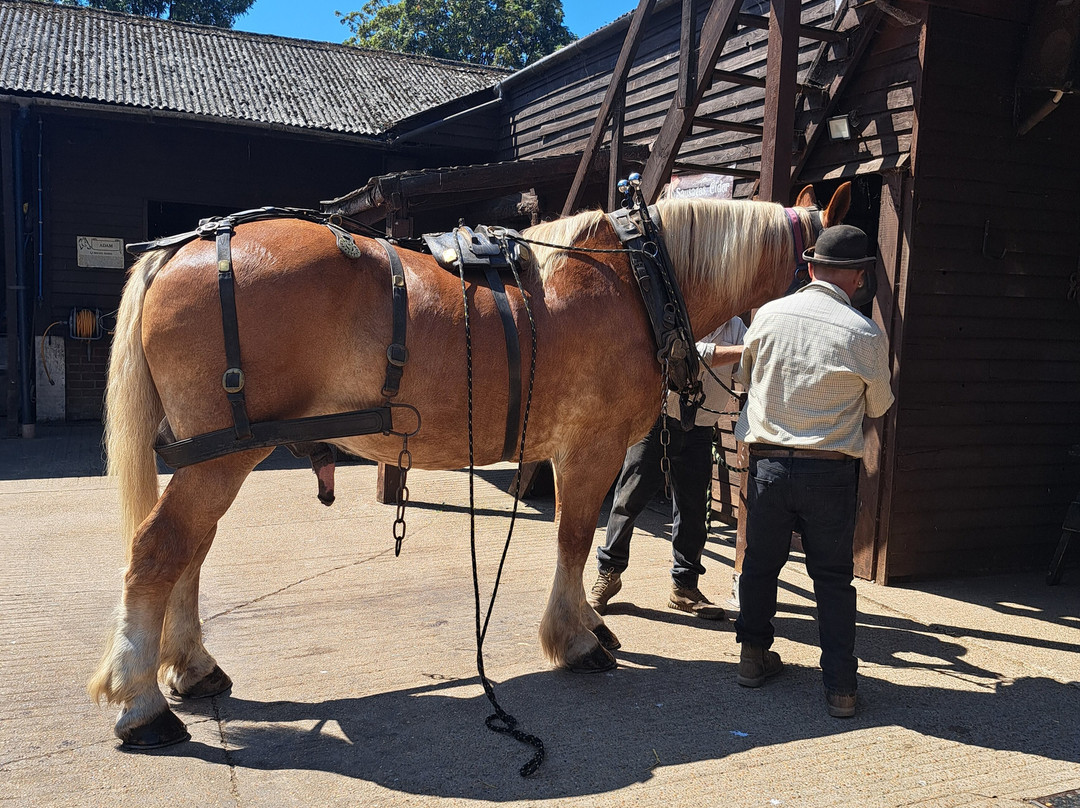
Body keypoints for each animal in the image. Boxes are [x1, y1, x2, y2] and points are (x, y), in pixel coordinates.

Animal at [88, 182, 851, 748]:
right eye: (843, 264)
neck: (638, 280)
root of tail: (186, 248)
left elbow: (575, 540)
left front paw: (589, 623)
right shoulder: (592, 446)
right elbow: (575, 539)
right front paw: (576, 639)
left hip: (217, 454)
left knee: (190, 552)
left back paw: (191, 668)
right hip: (226, 453)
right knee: (160, 552)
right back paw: (142, 704)